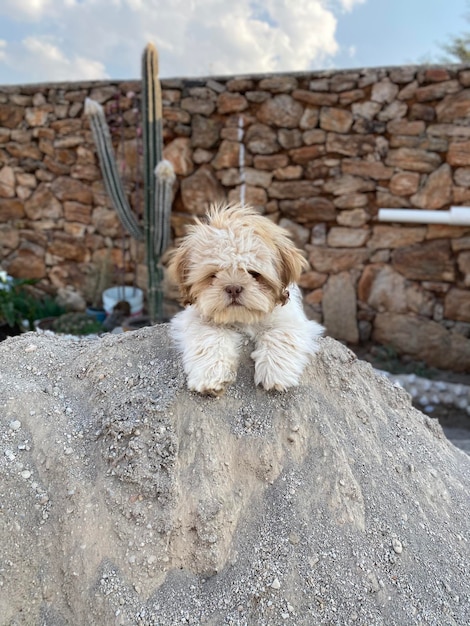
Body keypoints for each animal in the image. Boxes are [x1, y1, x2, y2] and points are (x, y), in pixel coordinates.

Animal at [167, 202, 324, 392]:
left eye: (254, 273)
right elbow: (208, 336)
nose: (233, 288)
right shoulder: (196, 318)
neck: (242, 319)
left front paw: (275, 373)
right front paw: (210, 375)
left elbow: (281, 334)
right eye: (213, 275)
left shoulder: (290, 319)